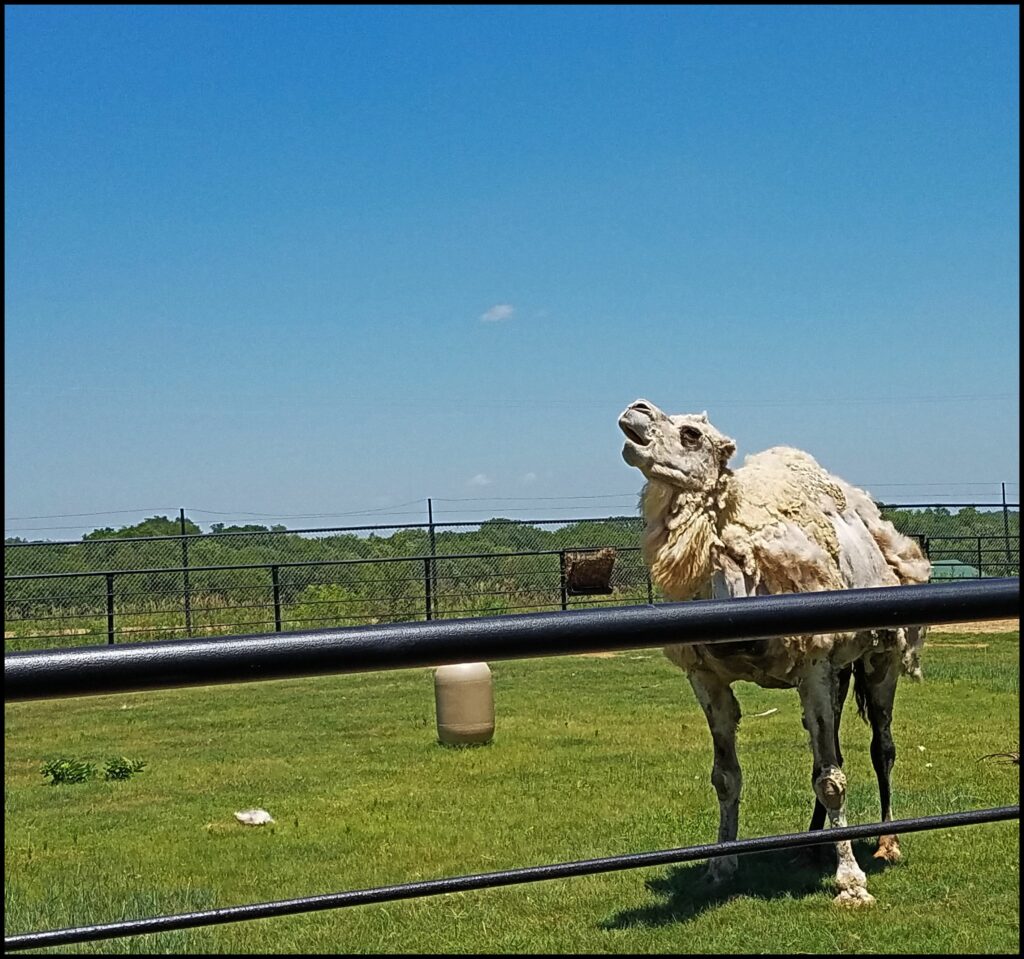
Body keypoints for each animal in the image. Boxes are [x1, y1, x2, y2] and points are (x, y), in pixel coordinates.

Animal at [618, 399, 933, 904]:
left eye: (691, 434)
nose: (636, 411)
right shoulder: (706, 676)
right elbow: (726, 776)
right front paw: (719, 866)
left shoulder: (813, 664)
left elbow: (830, 778)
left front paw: (851, 883)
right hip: (837, 671)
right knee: (834, 745)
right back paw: (810, 848)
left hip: (880, 655)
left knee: (880, 744)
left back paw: (886, 843)